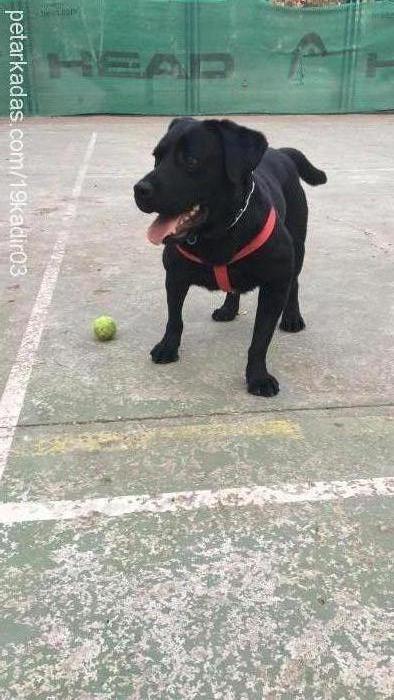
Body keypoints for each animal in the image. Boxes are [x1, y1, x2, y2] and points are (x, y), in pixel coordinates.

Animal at [134, 117, 324, 396]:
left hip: (298, 247)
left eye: (191, 160)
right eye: (157, 157)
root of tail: (280, 152)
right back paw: (228, 309)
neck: (218, 233)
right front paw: (168, 347)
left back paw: (291, 316)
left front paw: (257, 376)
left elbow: (260, 339)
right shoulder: (175, 276)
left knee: (295, 281)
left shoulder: (275, 284)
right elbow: (174, 319)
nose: (139, 189)